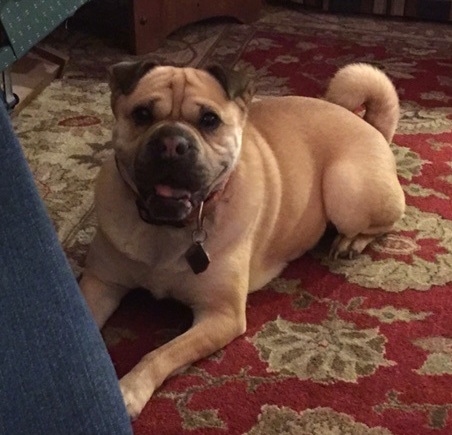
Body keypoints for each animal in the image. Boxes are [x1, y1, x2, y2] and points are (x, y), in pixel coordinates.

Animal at [79, 61, 404, 418]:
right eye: (142, 114)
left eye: (209, 120)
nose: (171, 143)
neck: (169, 229)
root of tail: (369, 125)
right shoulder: (100, 283)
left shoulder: (221, 315)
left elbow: (162, 352)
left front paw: (130, 389)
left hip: (346, 190)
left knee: (384, 221)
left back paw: (350, 242)